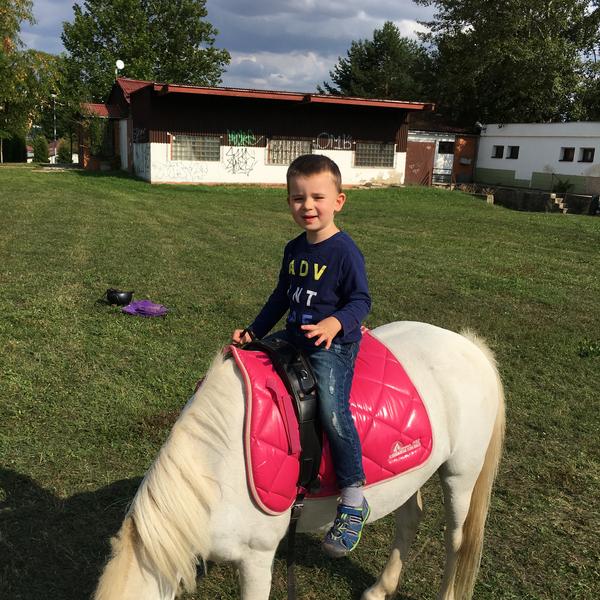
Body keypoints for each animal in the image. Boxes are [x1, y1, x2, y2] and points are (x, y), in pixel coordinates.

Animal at [93, 321, 505, 600]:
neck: (213, 470)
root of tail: (469, 345)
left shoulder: (257, 556)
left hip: (459, 475)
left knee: (456, 539)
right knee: (409, 519)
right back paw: (381, 587)